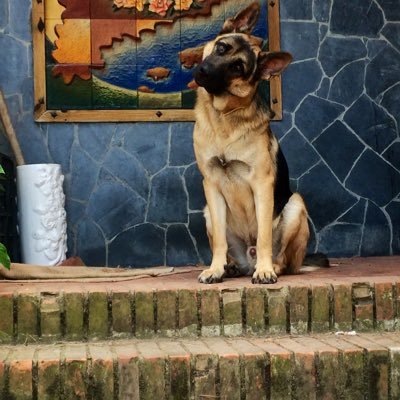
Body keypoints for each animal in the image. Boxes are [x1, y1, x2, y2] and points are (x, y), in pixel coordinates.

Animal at [193, 1, 310, 282]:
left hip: (296, 205)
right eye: (221, 48)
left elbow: (265, 235)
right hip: (208, 213)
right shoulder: (211, 185)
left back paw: (270, 266)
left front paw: (265, 271)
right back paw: (230, 266)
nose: (203, 72)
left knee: (285, 260)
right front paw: (215, 269)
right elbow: (219, 242)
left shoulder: (262, 185)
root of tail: (249, 257)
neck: (224, 117)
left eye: (237, 68)